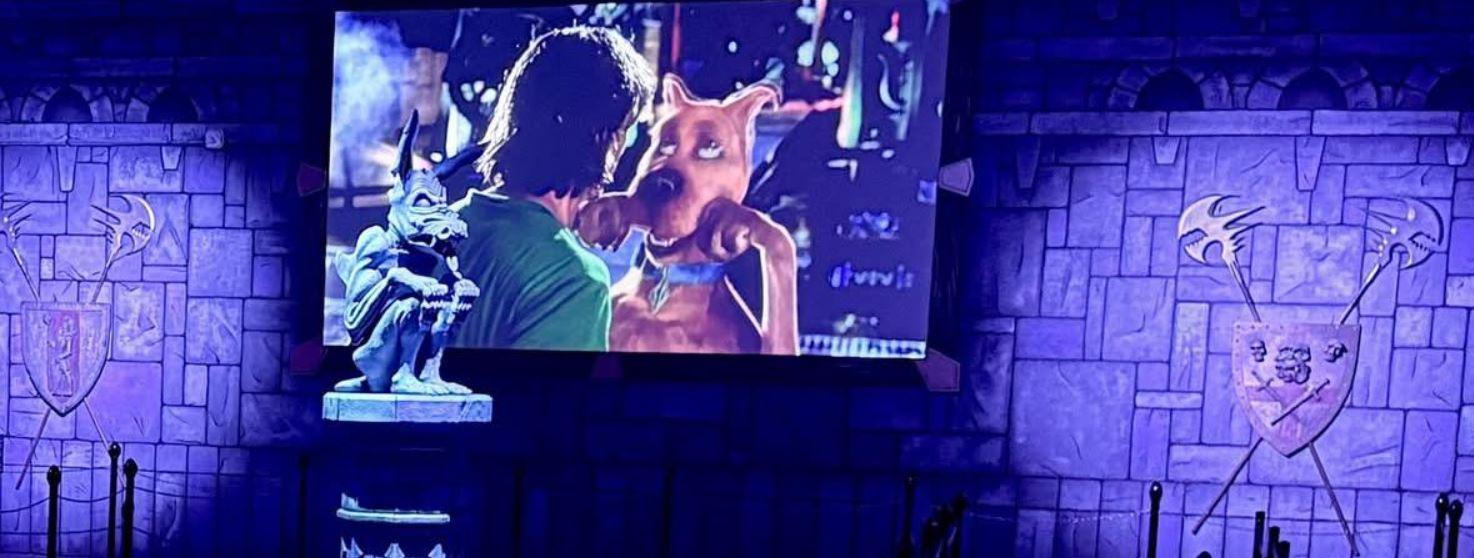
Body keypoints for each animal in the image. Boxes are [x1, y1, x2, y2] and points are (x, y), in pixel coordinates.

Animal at [576, 74, 798, 355]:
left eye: (710, 148)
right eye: (665, 145)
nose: (657, 184)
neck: (665, 290)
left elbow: (777, 239)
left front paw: (735, 219)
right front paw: (606, 211)